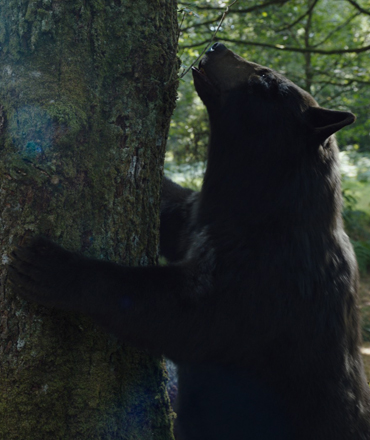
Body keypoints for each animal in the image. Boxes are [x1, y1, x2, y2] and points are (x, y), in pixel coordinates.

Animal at [7, 42, 370, 440]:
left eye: (264, 79)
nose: (217, 45)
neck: (261, 207)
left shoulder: (267, 279)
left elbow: (183, 315)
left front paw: (51, 267)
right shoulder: (200, 218)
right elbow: (174, 212)